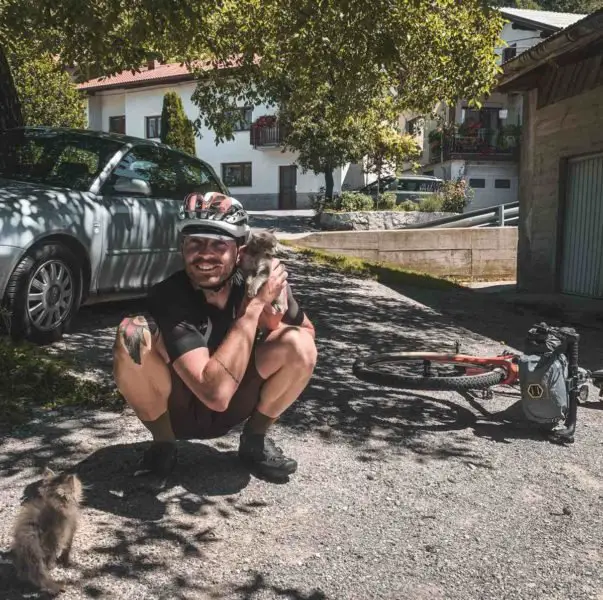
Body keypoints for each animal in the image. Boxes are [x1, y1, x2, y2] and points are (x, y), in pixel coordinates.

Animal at [12, 468, 83, 596]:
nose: (79, 481)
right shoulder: (70, 527)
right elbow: (67, 547)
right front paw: (66, 561)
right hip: (52, 540)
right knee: (48, 561)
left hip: (23, 551)